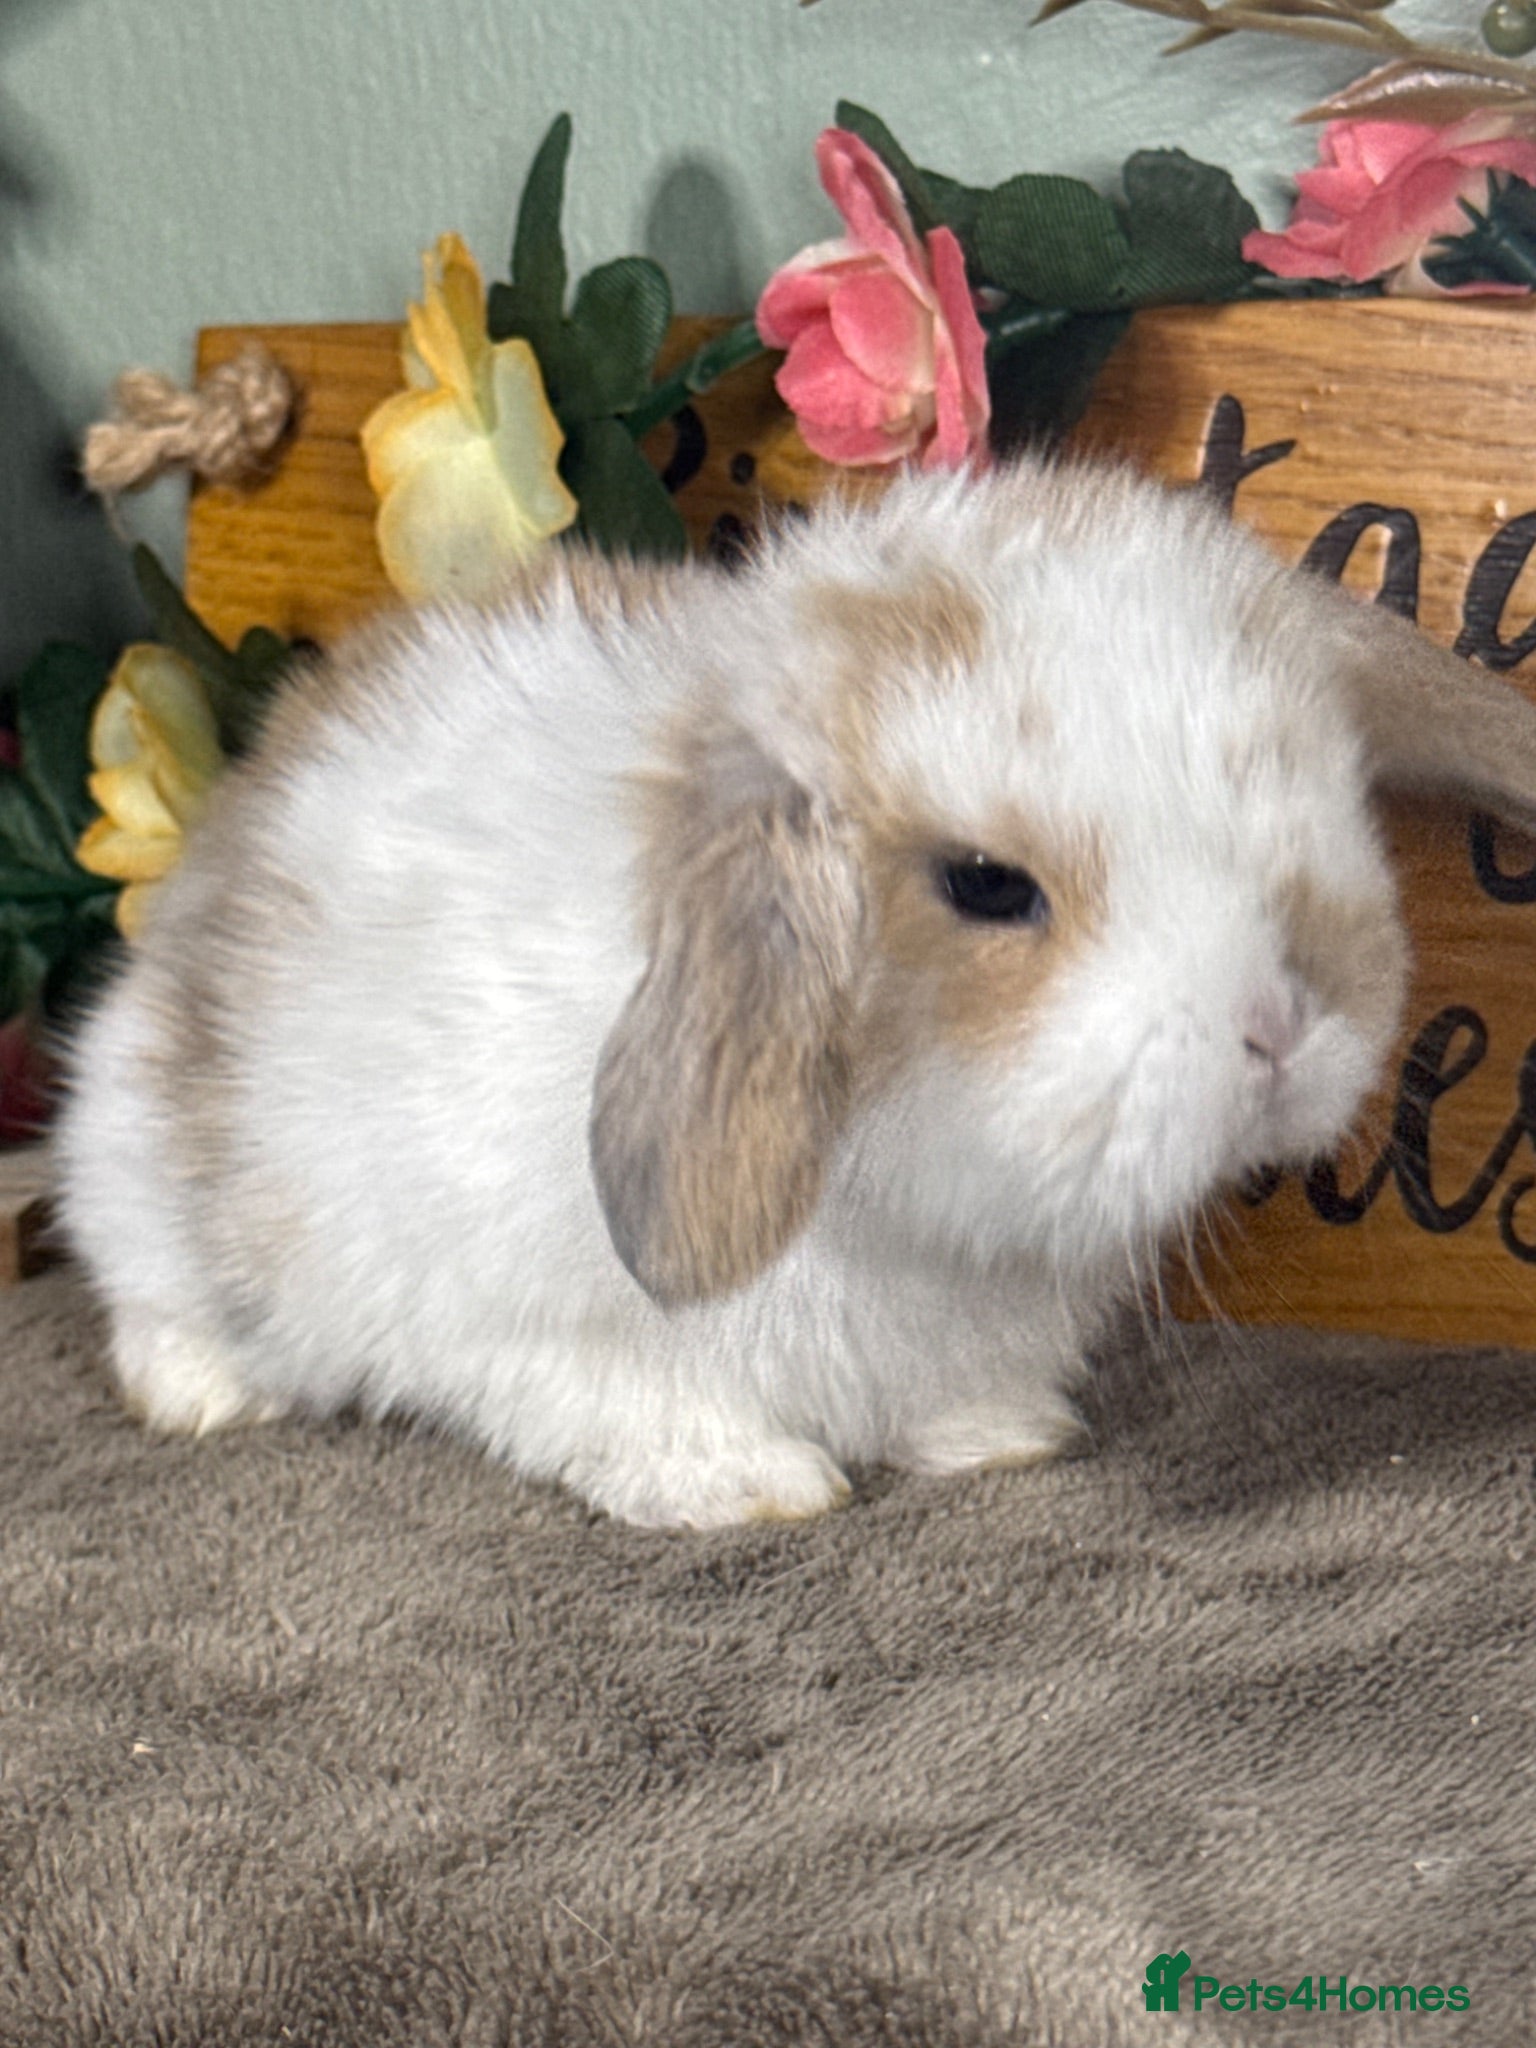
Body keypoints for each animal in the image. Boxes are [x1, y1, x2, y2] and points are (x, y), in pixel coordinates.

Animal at [53, 455, 1536, 1528]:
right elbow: (620, 1409)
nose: (1286, 1022)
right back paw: (206, 1397)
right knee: (152, 1295)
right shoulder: (532, 1328)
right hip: (136, 1165)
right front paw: (748, 1490)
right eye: (987, 885)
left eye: (1326, 790)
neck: (896, 1192)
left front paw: (998, 1438)